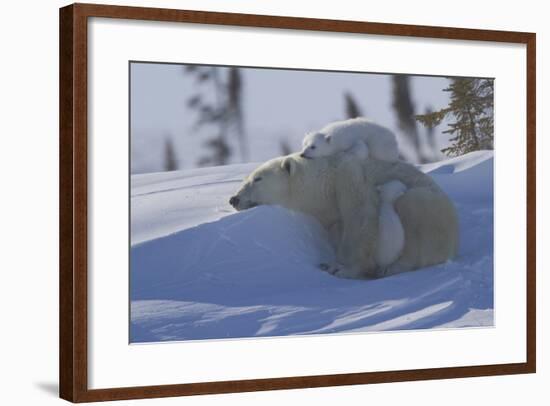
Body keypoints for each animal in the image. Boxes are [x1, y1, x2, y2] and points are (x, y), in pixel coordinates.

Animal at [230, 150, 462, 280]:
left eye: (258, 179)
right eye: (247, 178)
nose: (234, 199)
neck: (321, 181)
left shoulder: (348, 175)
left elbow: (360, 216)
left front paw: (342, 269)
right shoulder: (330, 213)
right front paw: (330, 263)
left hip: (429, 207)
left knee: (413, 213)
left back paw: (391, 268)